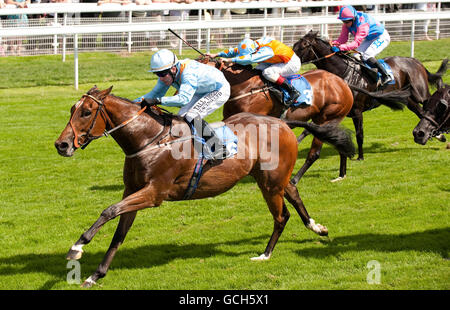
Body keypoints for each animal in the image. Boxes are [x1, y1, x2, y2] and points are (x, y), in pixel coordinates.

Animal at [53, 85, 356, 288]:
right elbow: (119, 232)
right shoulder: (133, 191)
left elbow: (108, 210)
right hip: (274, 178)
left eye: (87, 112)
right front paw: (95, 274)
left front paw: (77, 247)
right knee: (293, 192)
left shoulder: (154, 193)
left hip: (270, 184)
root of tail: (281, 121)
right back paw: (317, 227)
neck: (149, 139)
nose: (62, 145)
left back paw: (265, 254)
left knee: (282, 216)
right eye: (71, 110)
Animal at [199, 55, 354, 184]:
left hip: (325, 118)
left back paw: (295, 179)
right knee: (338, 142)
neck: (246, 88)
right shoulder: (229, 118)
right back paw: (341, 174)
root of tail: (343, 84)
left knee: (314, 153)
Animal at [294, 31, 448, 161]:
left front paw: (360, 157)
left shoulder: (357, 111)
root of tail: (415, 61)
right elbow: (309, 129)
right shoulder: (331, 113)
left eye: (303, 46)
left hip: (420, 94)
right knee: (421, 112)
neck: (344, 74)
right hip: (408, 99)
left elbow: (359, 134)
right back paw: (437, 135)